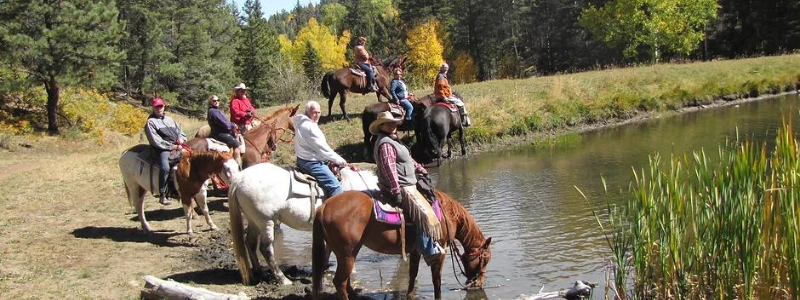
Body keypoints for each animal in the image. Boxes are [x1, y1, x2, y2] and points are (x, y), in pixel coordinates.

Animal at [227, 163, 380, 284]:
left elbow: (329, 248)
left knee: (250, 243)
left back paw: (260, 272)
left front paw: (324, 265)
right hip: (266, 221)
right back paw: (282, 279)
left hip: (254, 220)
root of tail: (240, 178)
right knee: (266, 249)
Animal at [314, 190, 494, 300]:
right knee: (340, 282)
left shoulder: (415, 251)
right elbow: (436, 280)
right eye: (485, 259)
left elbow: (412, 274)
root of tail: (324, 206)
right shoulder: (439, 252)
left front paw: (410, 295)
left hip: (344, 254)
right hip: (348, 254)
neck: (448, 215)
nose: (479, 284)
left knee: (345, 281)